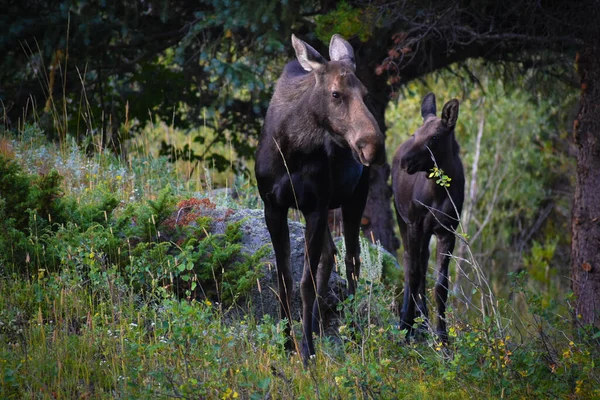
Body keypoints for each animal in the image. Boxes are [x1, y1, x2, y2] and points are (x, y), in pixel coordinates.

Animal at [253, 33, 384, 362]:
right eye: (336, 93)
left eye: (365, 93)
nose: (373, 146)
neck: (291, 149)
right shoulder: (273, 206)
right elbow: (285, 279)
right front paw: (286, 342)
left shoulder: (315, 205)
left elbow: (305, 283)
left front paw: (307, 351)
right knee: (331, 254)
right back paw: (317, 326)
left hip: (353, 199)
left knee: (352, 259)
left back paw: (351, 332)